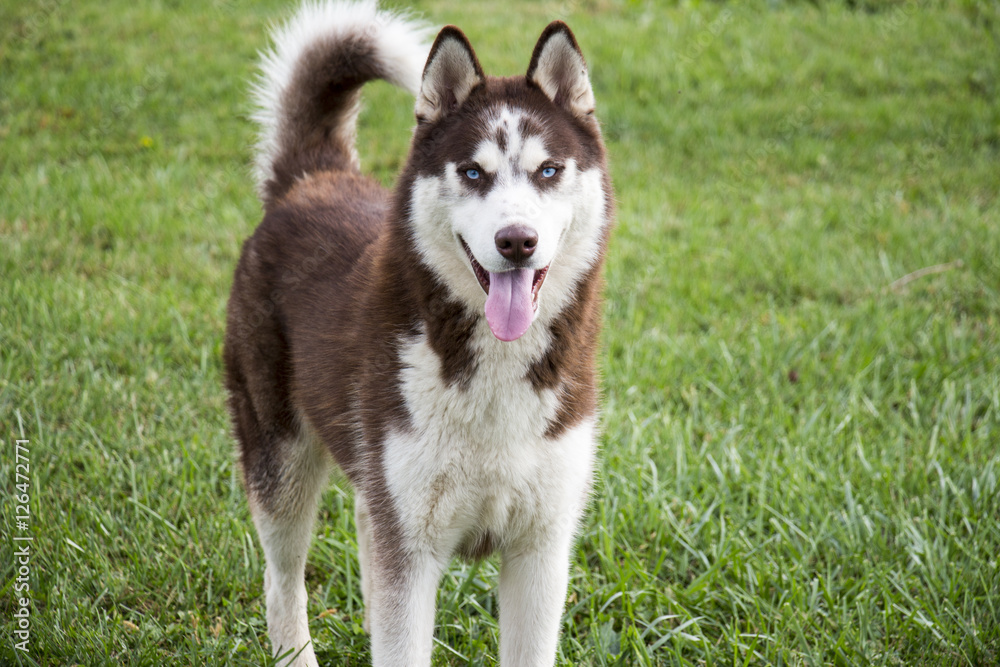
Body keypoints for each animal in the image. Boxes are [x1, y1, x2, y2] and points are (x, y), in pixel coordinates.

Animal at [226, 2, 612, 664]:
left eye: (549, 170)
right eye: (474, 172)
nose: (517, 240)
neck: (493, 365)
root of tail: (312, 180)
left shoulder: (541, 551)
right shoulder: (410, 549)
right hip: (282, 461)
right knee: (282, 581)